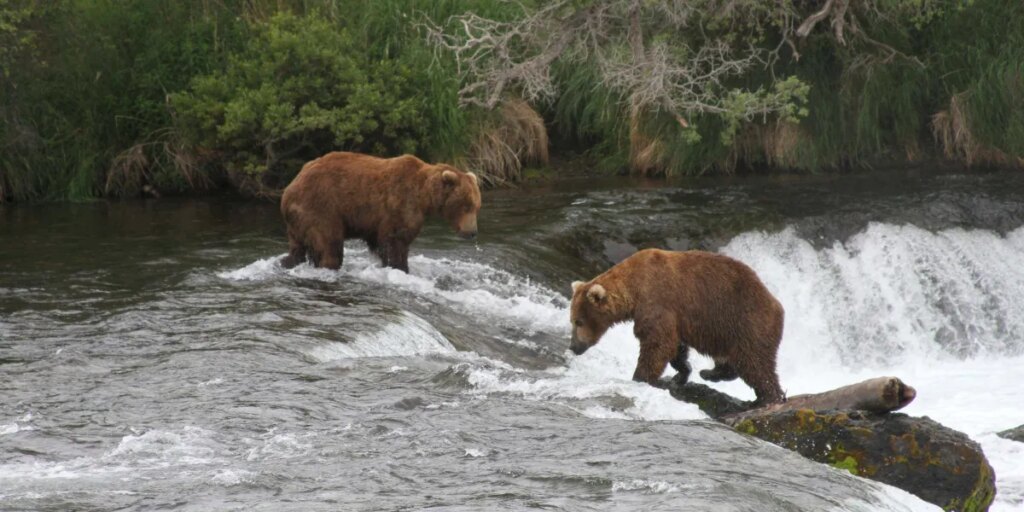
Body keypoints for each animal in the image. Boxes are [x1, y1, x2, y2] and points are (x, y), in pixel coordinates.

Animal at [279, 151, 482, 272]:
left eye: (477, 206)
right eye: (466, 205)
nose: (472, 232)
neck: (424, 196)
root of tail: (288, 191)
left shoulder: (376, 222)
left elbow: (383, 241)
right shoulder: (400, 204)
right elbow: (395, 241)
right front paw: (400, 267)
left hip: (298, 222)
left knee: (297, 249)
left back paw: (286, 262)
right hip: (321, 207)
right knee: (329, 245)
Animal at [569, 248, 786, 405]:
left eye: (579, 321)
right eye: (572, 320)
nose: (573, 347)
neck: (634, 289)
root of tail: (778, 305)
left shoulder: (656, 300)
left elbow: (658, 343)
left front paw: (639, 377)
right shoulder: (673, 316)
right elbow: (675, 346)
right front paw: (681, 373)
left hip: (746, 322)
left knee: (754, 363)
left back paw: (768, 398)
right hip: (725, 333)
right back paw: (710, 372)